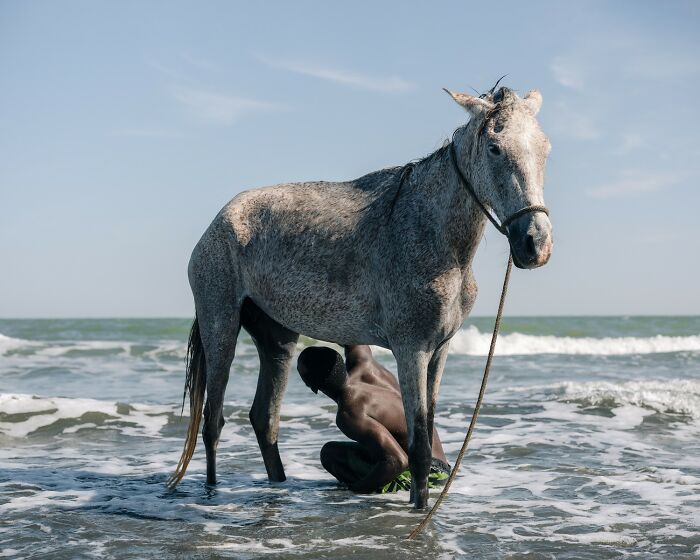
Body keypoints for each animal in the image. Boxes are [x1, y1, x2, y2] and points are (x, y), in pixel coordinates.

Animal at [167, 85, 553, 509]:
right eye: (495, 149)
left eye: (545, 147)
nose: (535, 244)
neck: (429, 231)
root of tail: (218, 221)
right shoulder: (411, 350)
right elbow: (418, 448)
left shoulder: (440, 351)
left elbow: (427, 433)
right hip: (220, 325)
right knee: (213, 420)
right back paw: (211, 494)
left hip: (278, 341)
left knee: (264, 420)